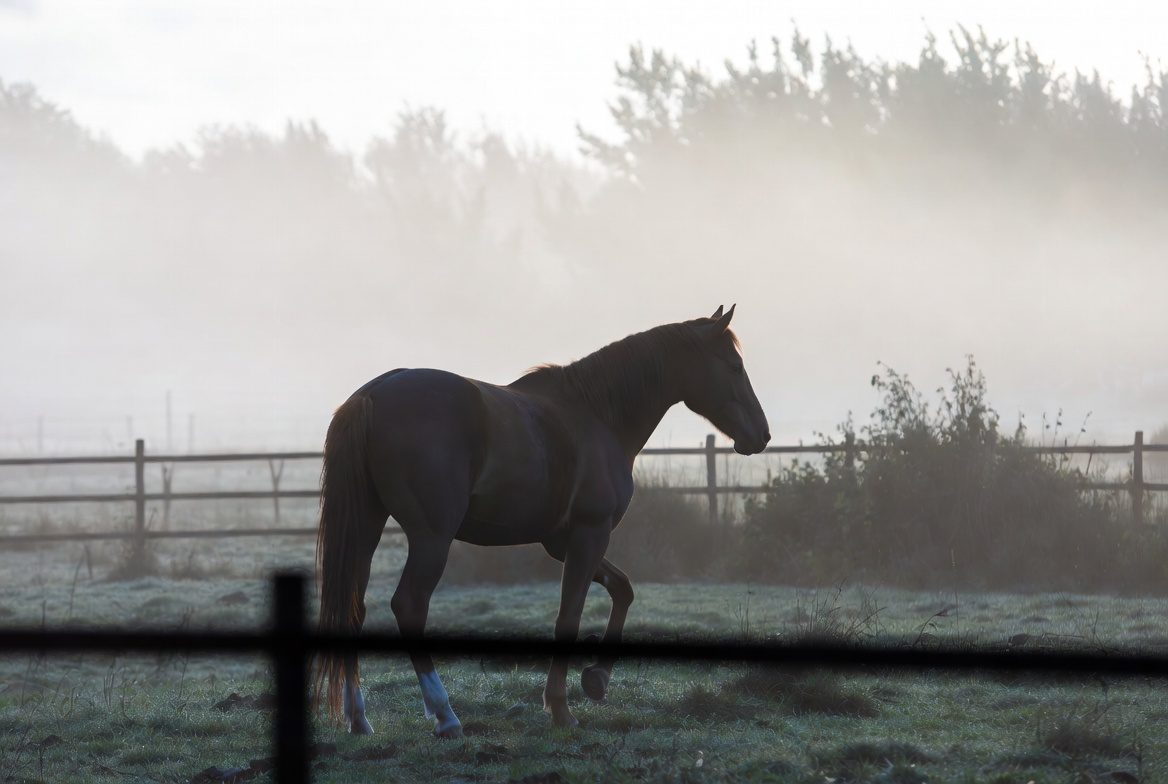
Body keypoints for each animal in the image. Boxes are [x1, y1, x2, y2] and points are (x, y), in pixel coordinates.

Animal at [315, 305, 770, 737]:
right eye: (734, 366)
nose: (762, 435)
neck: (598, 415)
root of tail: (371, 396)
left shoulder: (561, 542)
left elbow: (622, 590)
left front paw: (597, 679)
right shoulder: (590, 533)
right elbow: (569, 616)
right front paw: (561, 708)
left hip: (366, 529)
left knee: (354, 609)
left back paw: (359, 719)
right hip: (431, 538)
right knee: (409, 605)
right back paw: (445, 716)